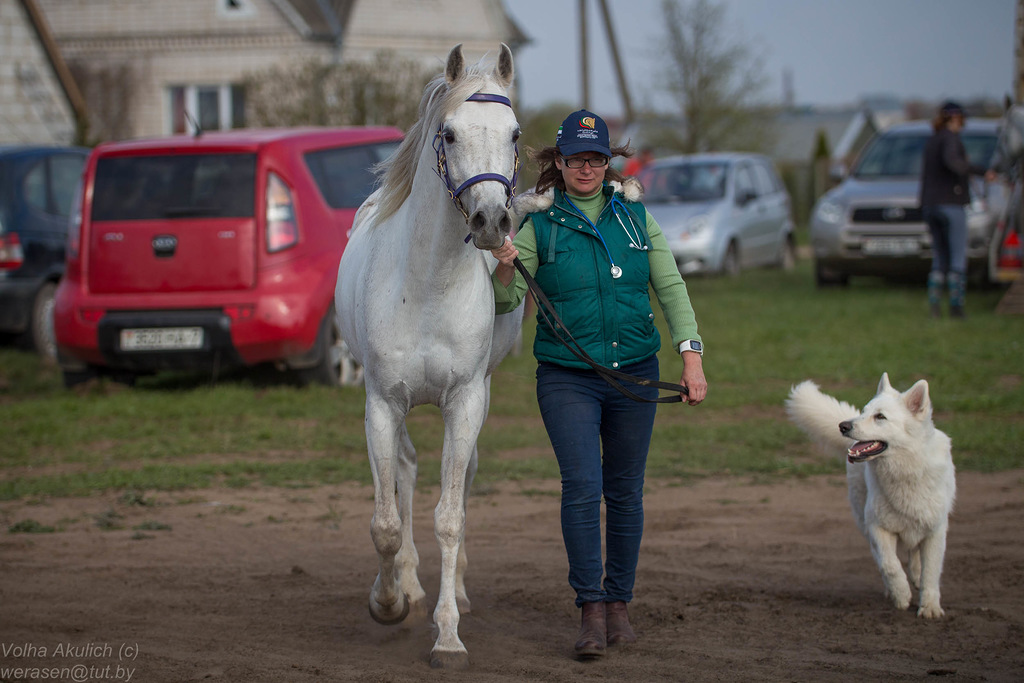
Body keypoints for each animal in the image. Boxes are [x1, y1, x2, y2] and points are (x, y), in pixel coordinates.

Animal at [335, 45, 524, 671]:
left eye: (515, 134)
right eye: (449, 132)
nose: (491, 222)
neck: (426, 285)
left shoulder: (464, 401)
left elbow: (450, 514)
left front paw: (448, 635)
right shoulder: (380, 404)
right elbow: (386, 521)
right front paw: (388, 600)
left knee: (457, 479)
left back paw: (453, 587)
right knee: (406, 470)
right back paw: (410, 585)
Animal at [786, 374, 954, 618]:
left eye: (880, 417)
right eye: (864, 411)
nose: (843, 425)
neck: (905, 472)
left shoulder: (935, 532)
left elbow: (931, 572)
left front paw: (930, 607)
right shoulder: (877, 527)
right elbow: (890, 564)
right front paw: (901, 595)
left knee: (915, 554)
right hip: (863, 521)